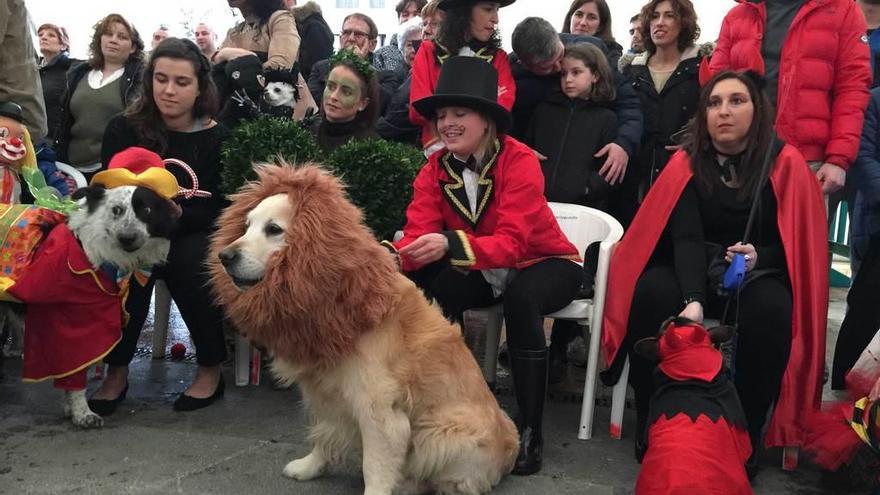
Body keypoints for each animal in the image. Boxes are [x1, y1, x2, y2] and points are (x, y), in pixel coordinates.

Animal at [210, 166, 520, 495]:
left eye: (274, 229)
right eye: (246, 226)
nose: (224, 256)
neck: (349, 302)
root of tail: (511, 449)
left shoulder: (379, 411)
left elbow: (375, 465)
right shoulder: (323, 390)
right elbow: (324, 432)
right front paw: (310, 466)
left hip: (443, 434)